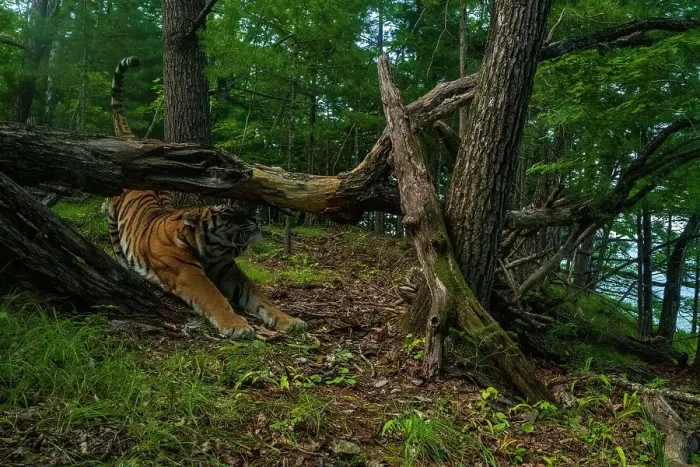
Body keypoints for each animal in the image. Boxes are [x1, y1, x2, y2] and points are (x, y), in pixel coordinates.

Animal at [107, 56, 307, 338]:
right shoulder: (188, 273)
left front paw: (289, 320)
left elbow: (260, 296)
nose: (256, 220)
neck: (212, 251)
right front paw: (237, 326)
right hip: (112, 211)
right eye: (227, 211)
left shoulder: (229, 270)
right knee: (116, 245)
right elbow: (214, 298)